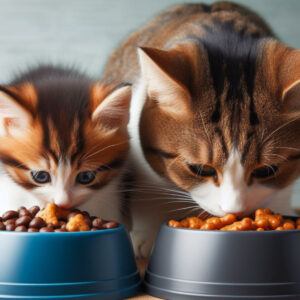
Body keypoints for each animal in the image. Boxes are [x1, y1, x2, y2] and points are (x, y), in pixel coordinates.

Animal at [102, 1, 300, 256]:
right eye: (200, 169)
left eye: (267, 170)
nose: (234, 210)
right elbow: (150, 195)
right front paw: (149, 236)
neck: (227, 40)